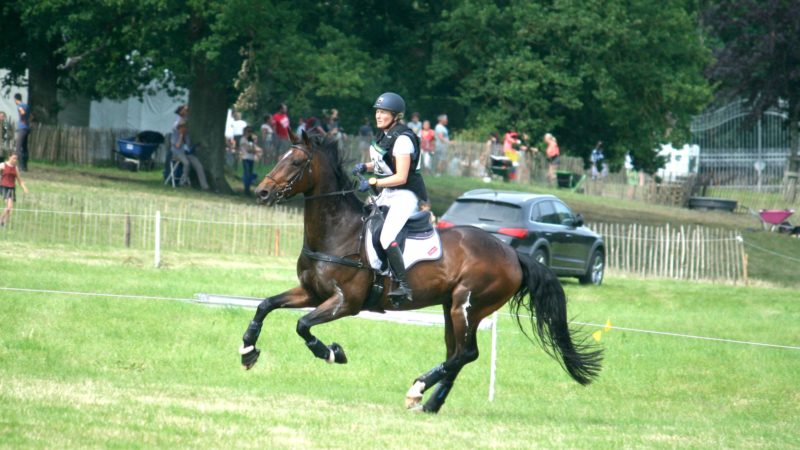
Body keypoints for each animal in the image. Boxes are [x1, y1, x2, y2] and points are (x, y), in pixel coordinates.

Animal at [241, 131, 604, 414]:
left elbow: (303, 326)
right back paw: (430, 403)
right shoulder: (311, 292)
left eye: (295, 163)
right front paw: (247, 352)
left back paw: (417, 388)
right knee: (458, 354)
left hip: (467, 305)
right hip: (451, 308)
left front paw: (332, 353)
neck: (338, 231)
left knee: (466, 353)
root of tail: (512, 254)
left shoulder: (345, 302)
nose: (262, 192)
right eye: (281, 158)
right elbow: (265, 305)